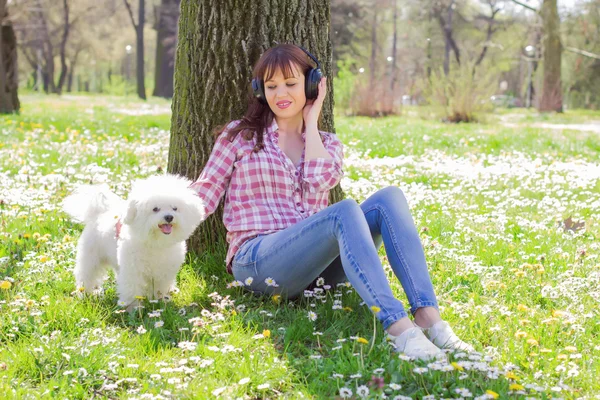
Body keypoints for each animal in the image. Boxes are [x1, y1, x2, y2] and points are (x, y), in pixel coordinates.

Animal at [62, 173, 205, 308]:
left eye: (175, 208)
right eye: (155, 209)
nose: (169, 217)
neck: (156, 242)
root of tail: (99, 213)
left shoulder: (164, 271)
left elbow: (160, 287)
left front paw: (160, 301)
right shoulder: (133, 269)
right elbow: (132, 288)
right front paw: (133, 307)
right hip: (91, 256)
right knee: (86, 274)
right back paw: (84, 293)